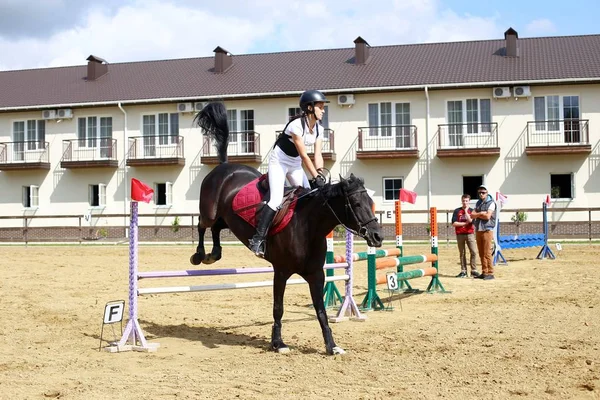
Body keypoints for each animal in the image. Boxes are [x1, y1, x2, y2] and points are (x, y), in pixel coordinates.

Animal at [190, 101, 382, 354]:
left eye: (370, 202)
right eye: (357, 204)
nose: (377, 236)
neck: (309, 228)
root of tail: (223, 167)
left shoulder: (316, 274)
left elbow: (321, 311)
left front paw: (331, 346)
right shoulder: (280, 271)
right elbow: (278, 308)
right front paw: (278, 343)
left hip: (224, 218)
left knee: (216, 230)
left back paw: (214, 254)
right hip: (211, 212)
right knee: (203, 225)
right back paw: (200, 255)